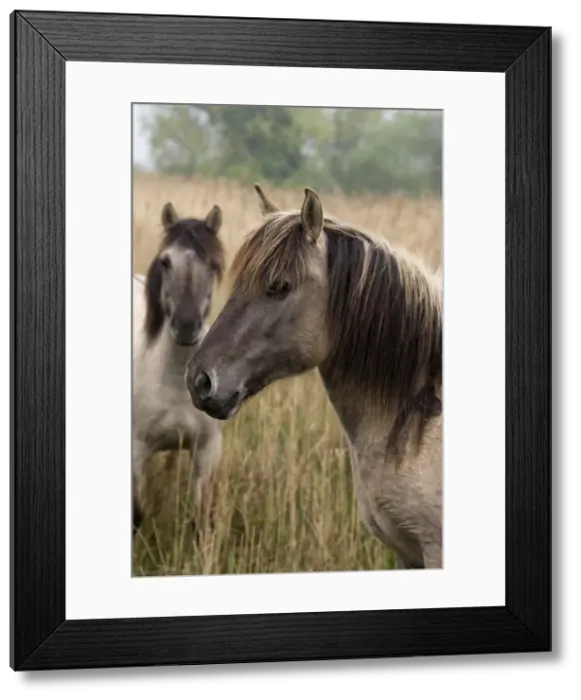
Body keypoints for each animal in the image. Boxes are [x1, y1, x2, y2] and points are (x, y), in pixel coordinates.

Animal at [132, 199, 226, 537]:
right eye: (165, 262)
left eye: (213, 265)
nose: (186, 326)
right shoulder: (135, 453)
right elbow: (136, 516)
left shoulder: (207, 451)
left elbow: (202, 521)